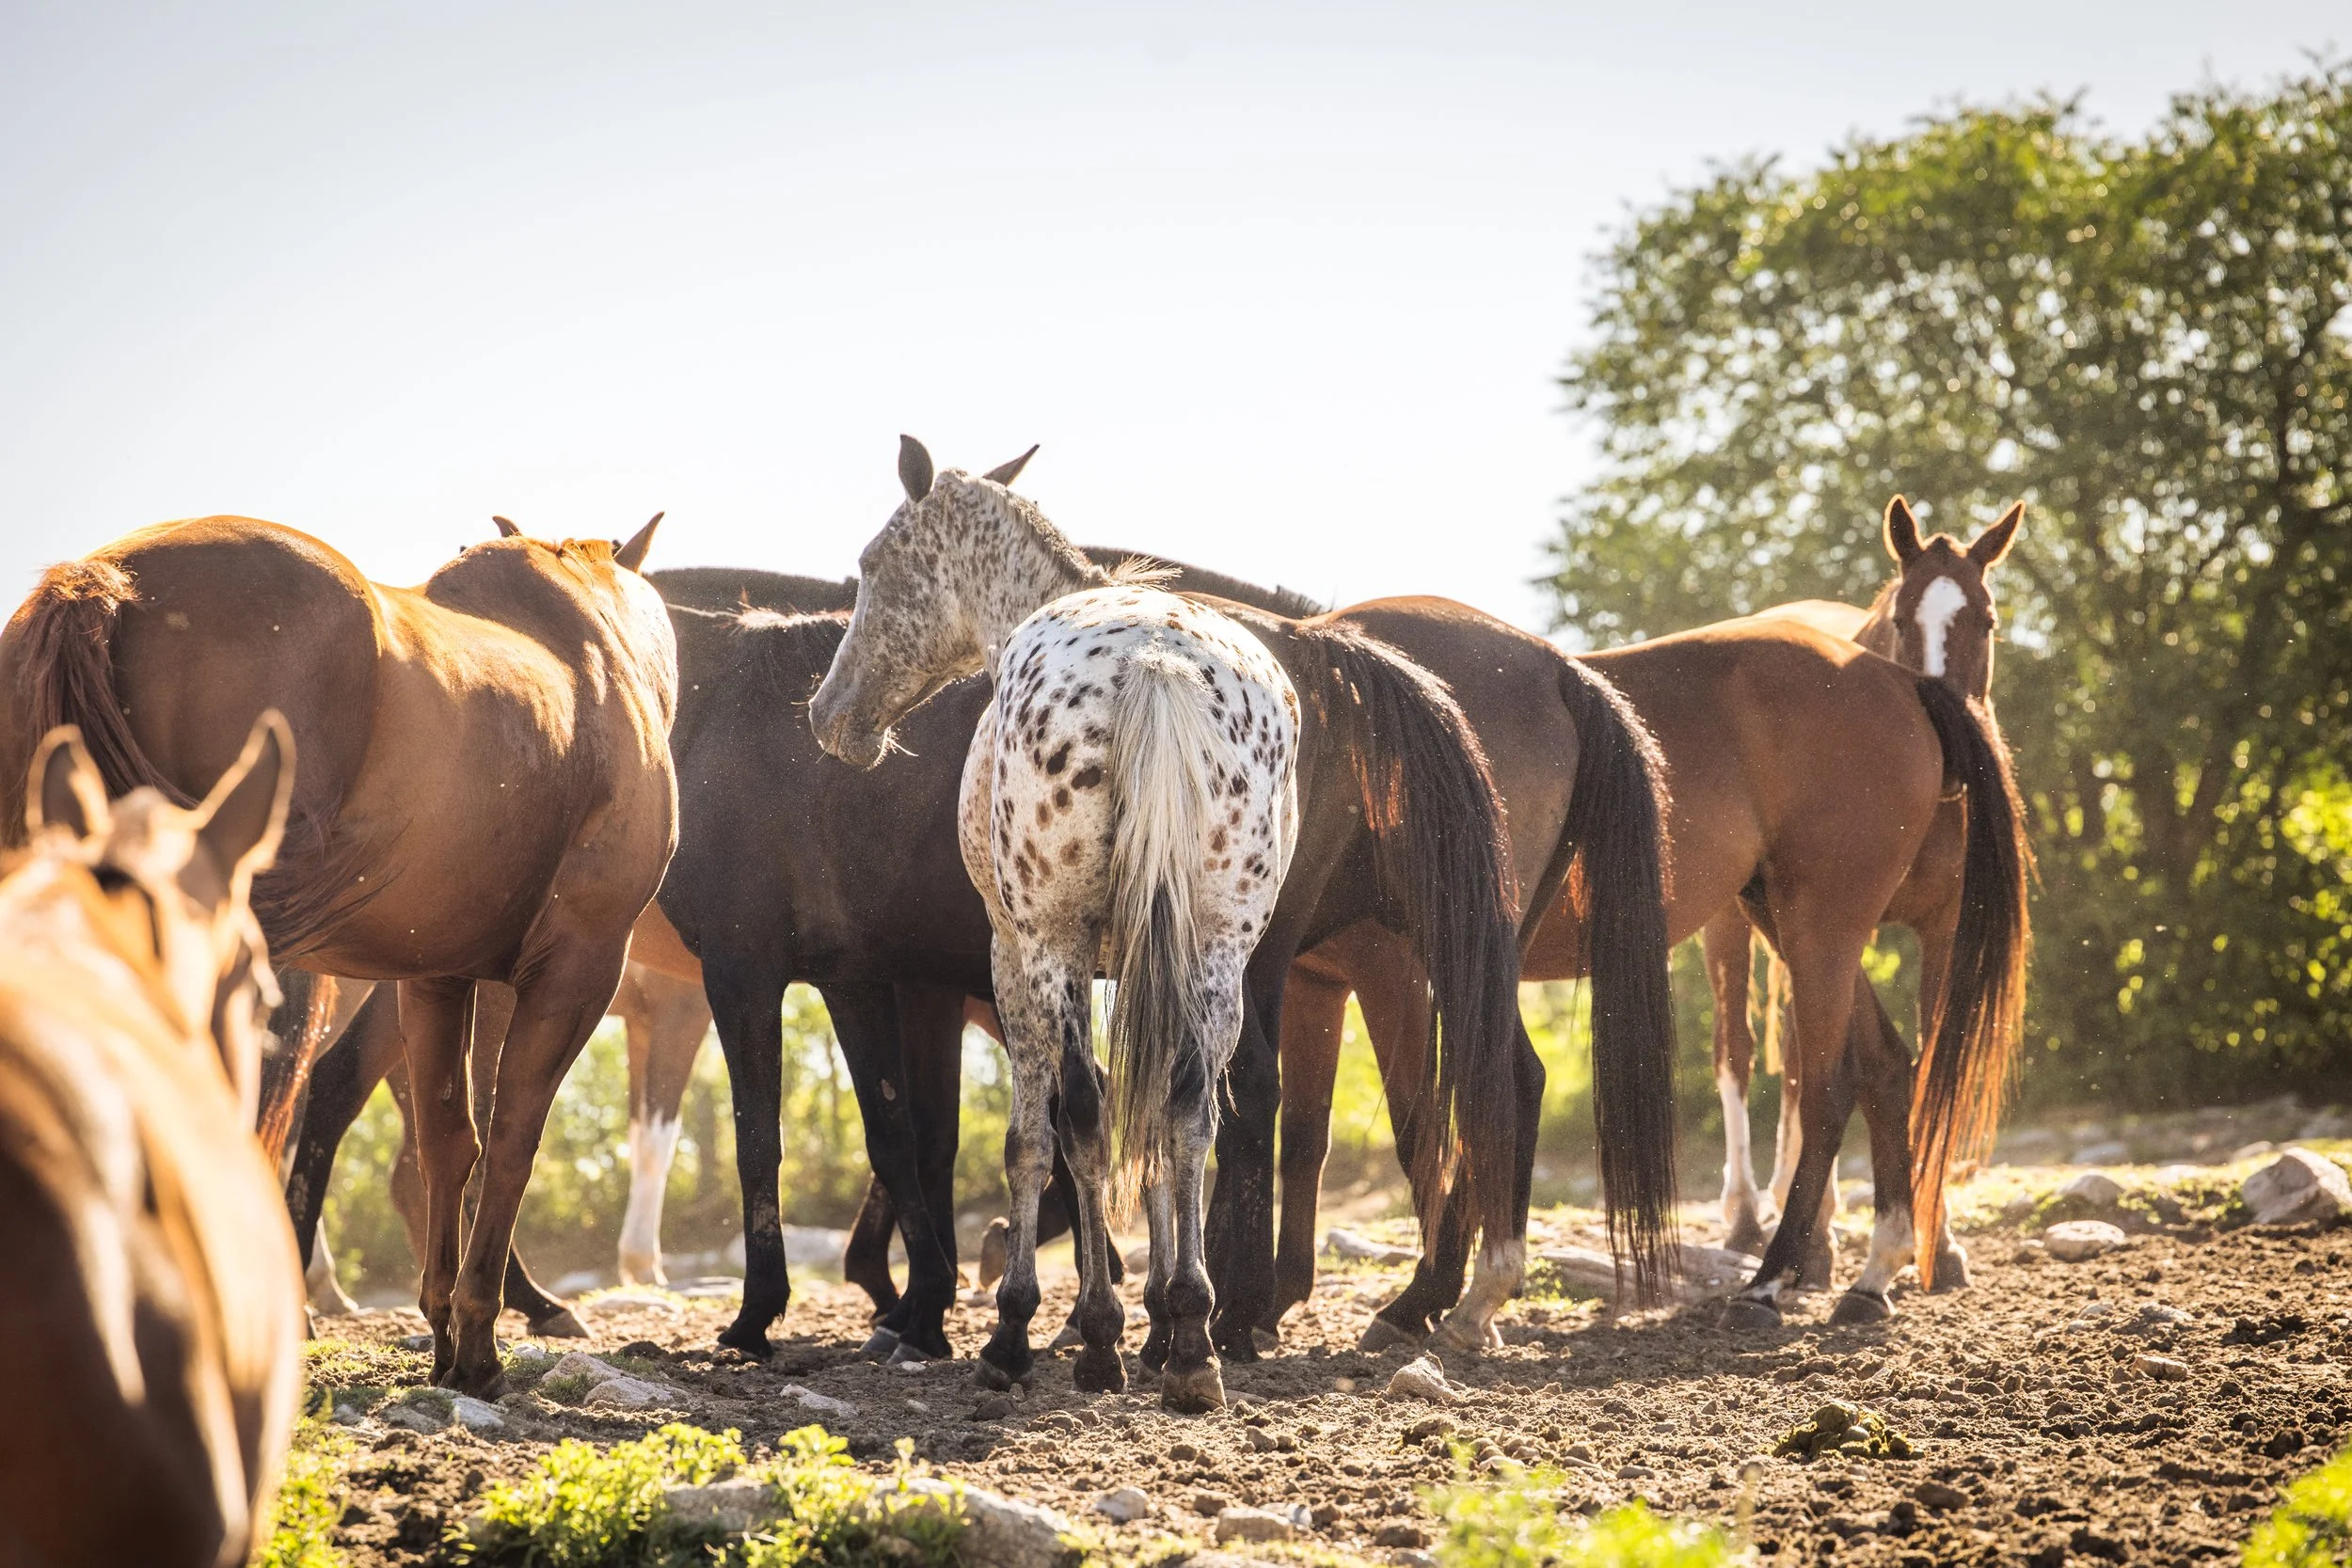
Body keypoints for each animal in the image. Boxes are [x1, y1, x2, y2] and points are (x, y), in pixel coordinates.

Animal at [0, 513, 679, 1396]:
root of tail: (102, 582)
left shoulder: (437, 977)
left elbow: (447, 1139)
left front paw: (445, 1331)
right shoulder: (575, 970)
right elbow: (510, 1140)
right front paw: (479, 1340)